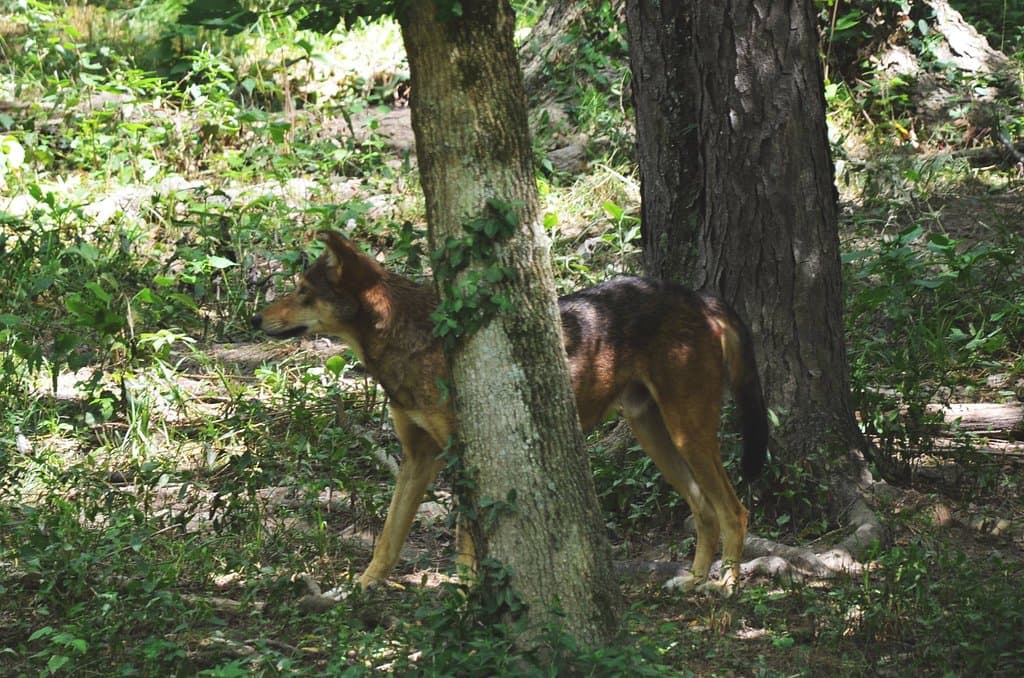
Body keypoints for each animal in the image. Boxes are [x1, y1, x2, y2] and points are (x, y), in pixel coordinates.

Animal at [252, 230, 769, 597]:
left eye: (303, 291)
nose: (256, 319)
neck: (409, 341)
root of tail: (700, 297)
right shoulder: (417, 460)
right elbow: (388, 538)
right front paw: (357, 589)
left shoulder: (461, 456)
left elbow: (464, 541)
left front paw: (467, 596)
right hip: (655, 436)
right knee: (704, 509)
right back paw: (695, 580)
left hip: (687, 434)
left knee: (735, 510)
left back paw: (726, 587)